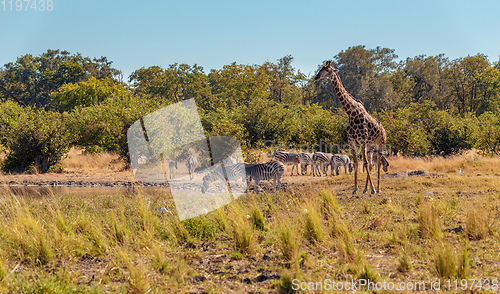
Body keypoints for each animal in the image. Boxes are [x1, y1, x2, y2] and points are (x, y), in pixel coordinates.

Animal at [314, 60, 388, 193]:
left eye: (327, 70)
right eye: (320, 69)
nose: (316, 77)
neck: (351, 113)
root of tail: (384, 130)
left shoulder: (362, 140)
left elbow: (364, 163)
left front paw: (373, 189)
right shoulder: (352, 141)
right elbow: (356, 163)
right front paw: (355, 189)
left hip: (380, 144)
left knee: (378, 163)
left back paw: (378, 188)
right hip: (370, 147)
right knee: (370, 163)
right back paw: (366, 189)